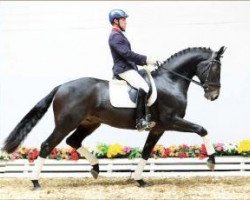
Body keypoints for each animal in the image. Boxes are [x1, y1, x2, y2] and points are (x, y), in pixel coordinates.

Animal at [1, 46, 226, 188]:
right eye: (215, 68)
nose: (214, 95)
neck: (170, 81)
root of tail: (61, 87)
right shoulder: (171, 121)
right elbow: (202, 129)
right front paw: (212, 160)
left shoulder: (158, 127)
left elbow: (146, 151)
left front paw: (139, 179)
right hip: (66, 123)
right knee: (48, 145)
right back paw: (35, 182)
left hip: (90, 123)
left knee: (73, 141)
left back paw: (95, 168)